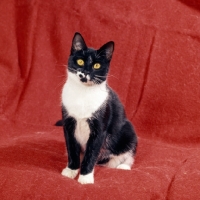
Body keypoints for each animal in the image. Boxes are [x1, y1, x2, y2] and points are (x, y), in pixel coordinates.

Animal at [61, 32, 138, 184]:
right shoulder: (68, 123)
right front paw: (71, 170)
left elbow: (91, 153)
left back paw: (123, 166)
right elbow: (72, 148)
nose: (85, 73)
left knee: (128, 152)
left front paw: (85, 177)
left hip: (128, 129)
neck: (82, 93)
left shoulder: (100, 128)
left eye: (96, 65)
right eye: (80, 62)